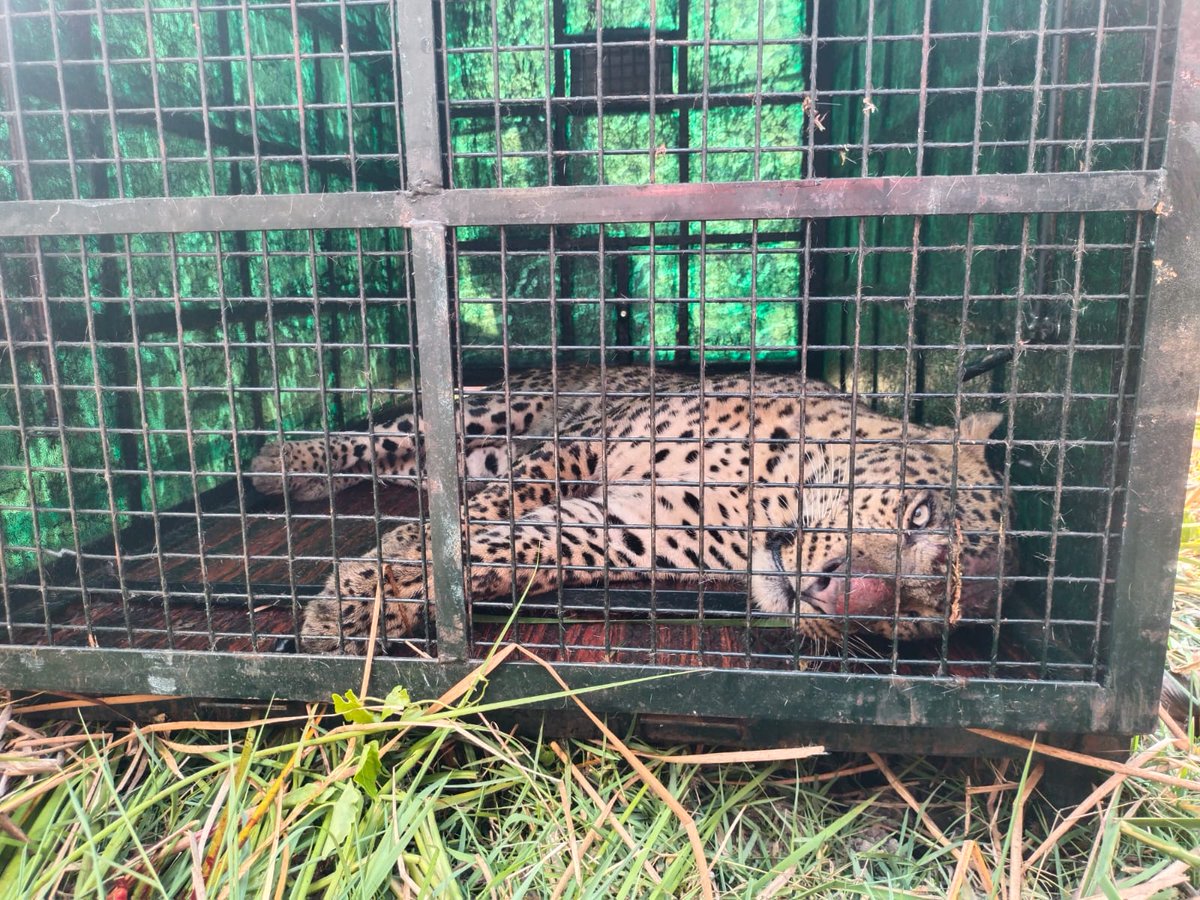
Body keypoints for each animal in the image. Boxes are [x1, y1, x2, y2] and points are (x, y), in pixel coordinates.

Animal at [250, 366, 1012, 654]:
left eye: (914, 619)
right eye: (920, 516)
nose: (838, 596)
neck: (766, 495)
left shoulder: (626, 531)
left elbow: (512, 547)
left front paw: (382, 588)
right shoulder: (580, 447)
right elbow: (488, 512)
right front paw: (363, 591)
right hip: (492, 410)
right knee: (390, 435)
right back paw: (283, 462)